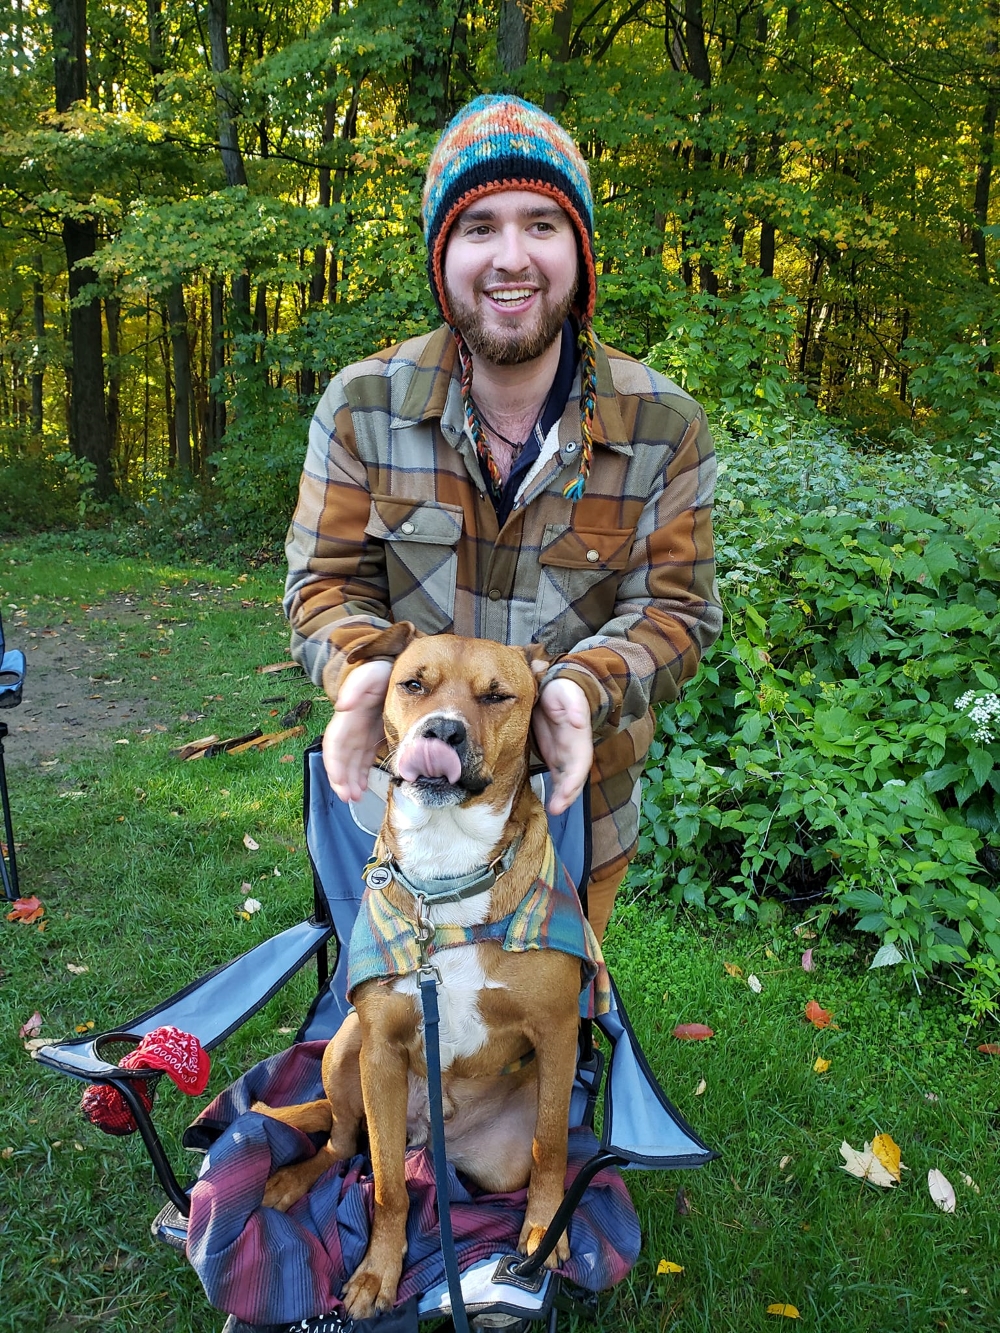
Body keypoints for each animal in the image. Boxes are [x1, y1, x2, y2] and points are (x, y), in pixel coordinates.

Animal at [254, 629, 594, 1317]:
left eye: (497, 695)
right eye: (413, 684)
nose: (442, 731)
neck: (447, 875)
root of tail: (430, 1138)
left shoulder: (557, 1031)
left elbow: (551, 1147)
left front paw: (544, 1232)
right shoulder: (381, 1049)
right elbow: (386, 1187)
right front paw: (379, 1271)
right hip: (345, 1051)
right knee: (344, 1144)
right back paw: (295, 1178)